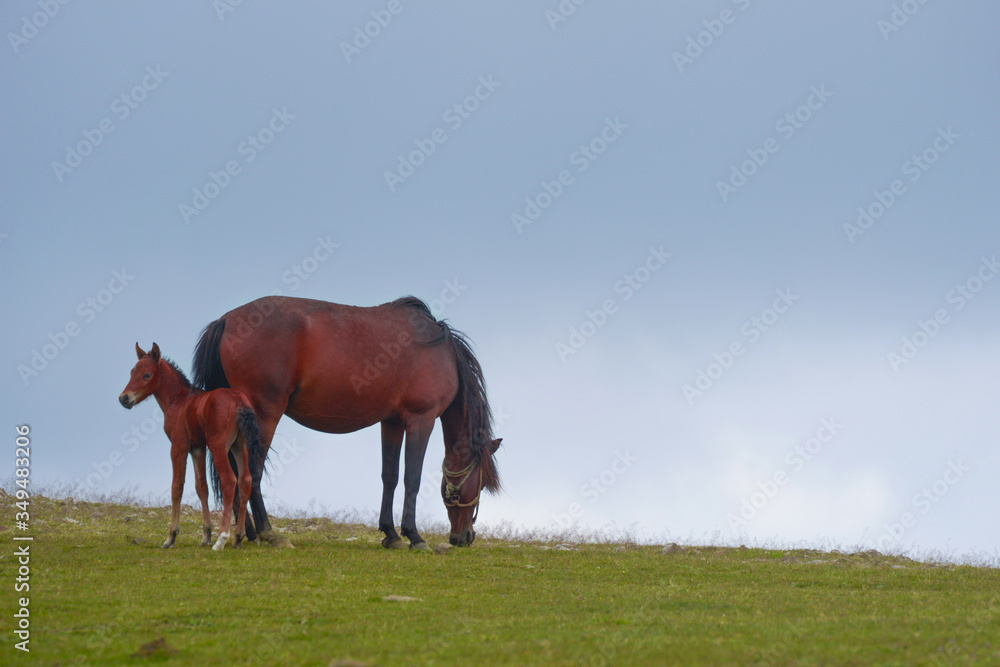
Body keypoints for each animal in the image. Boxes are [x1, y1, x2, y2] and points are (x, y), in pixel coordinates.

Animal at [119, 343, 264, 551]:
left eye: (147, 374)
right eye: (132, 372)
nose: (124, 398)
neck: (179, 399)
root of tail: (238, 400)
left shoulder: (178, 447)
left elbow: (176, 486)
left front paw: (171, 536)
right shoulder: (198, 448)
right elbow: (201, 487)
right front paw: (206, 535)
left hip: (219, 446)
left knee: (229, 480)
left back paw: (222, 538)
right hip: (239, 446)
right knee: (245, 480)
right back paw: (238, 536)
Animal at [191, 295, 501, 549]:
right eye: (482, 484)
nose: (465, 537)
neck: (441, 352)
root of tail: (226, 321)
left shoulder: (391, 422)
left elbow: (389, 476)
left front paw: (390, 534)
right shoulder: (420, 421)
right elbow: (412, 478)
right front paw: (413, 536)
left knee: (236, 473)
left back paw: (248, 533)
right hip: (265, 417)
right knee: (251, 473)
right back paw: (269, 534)